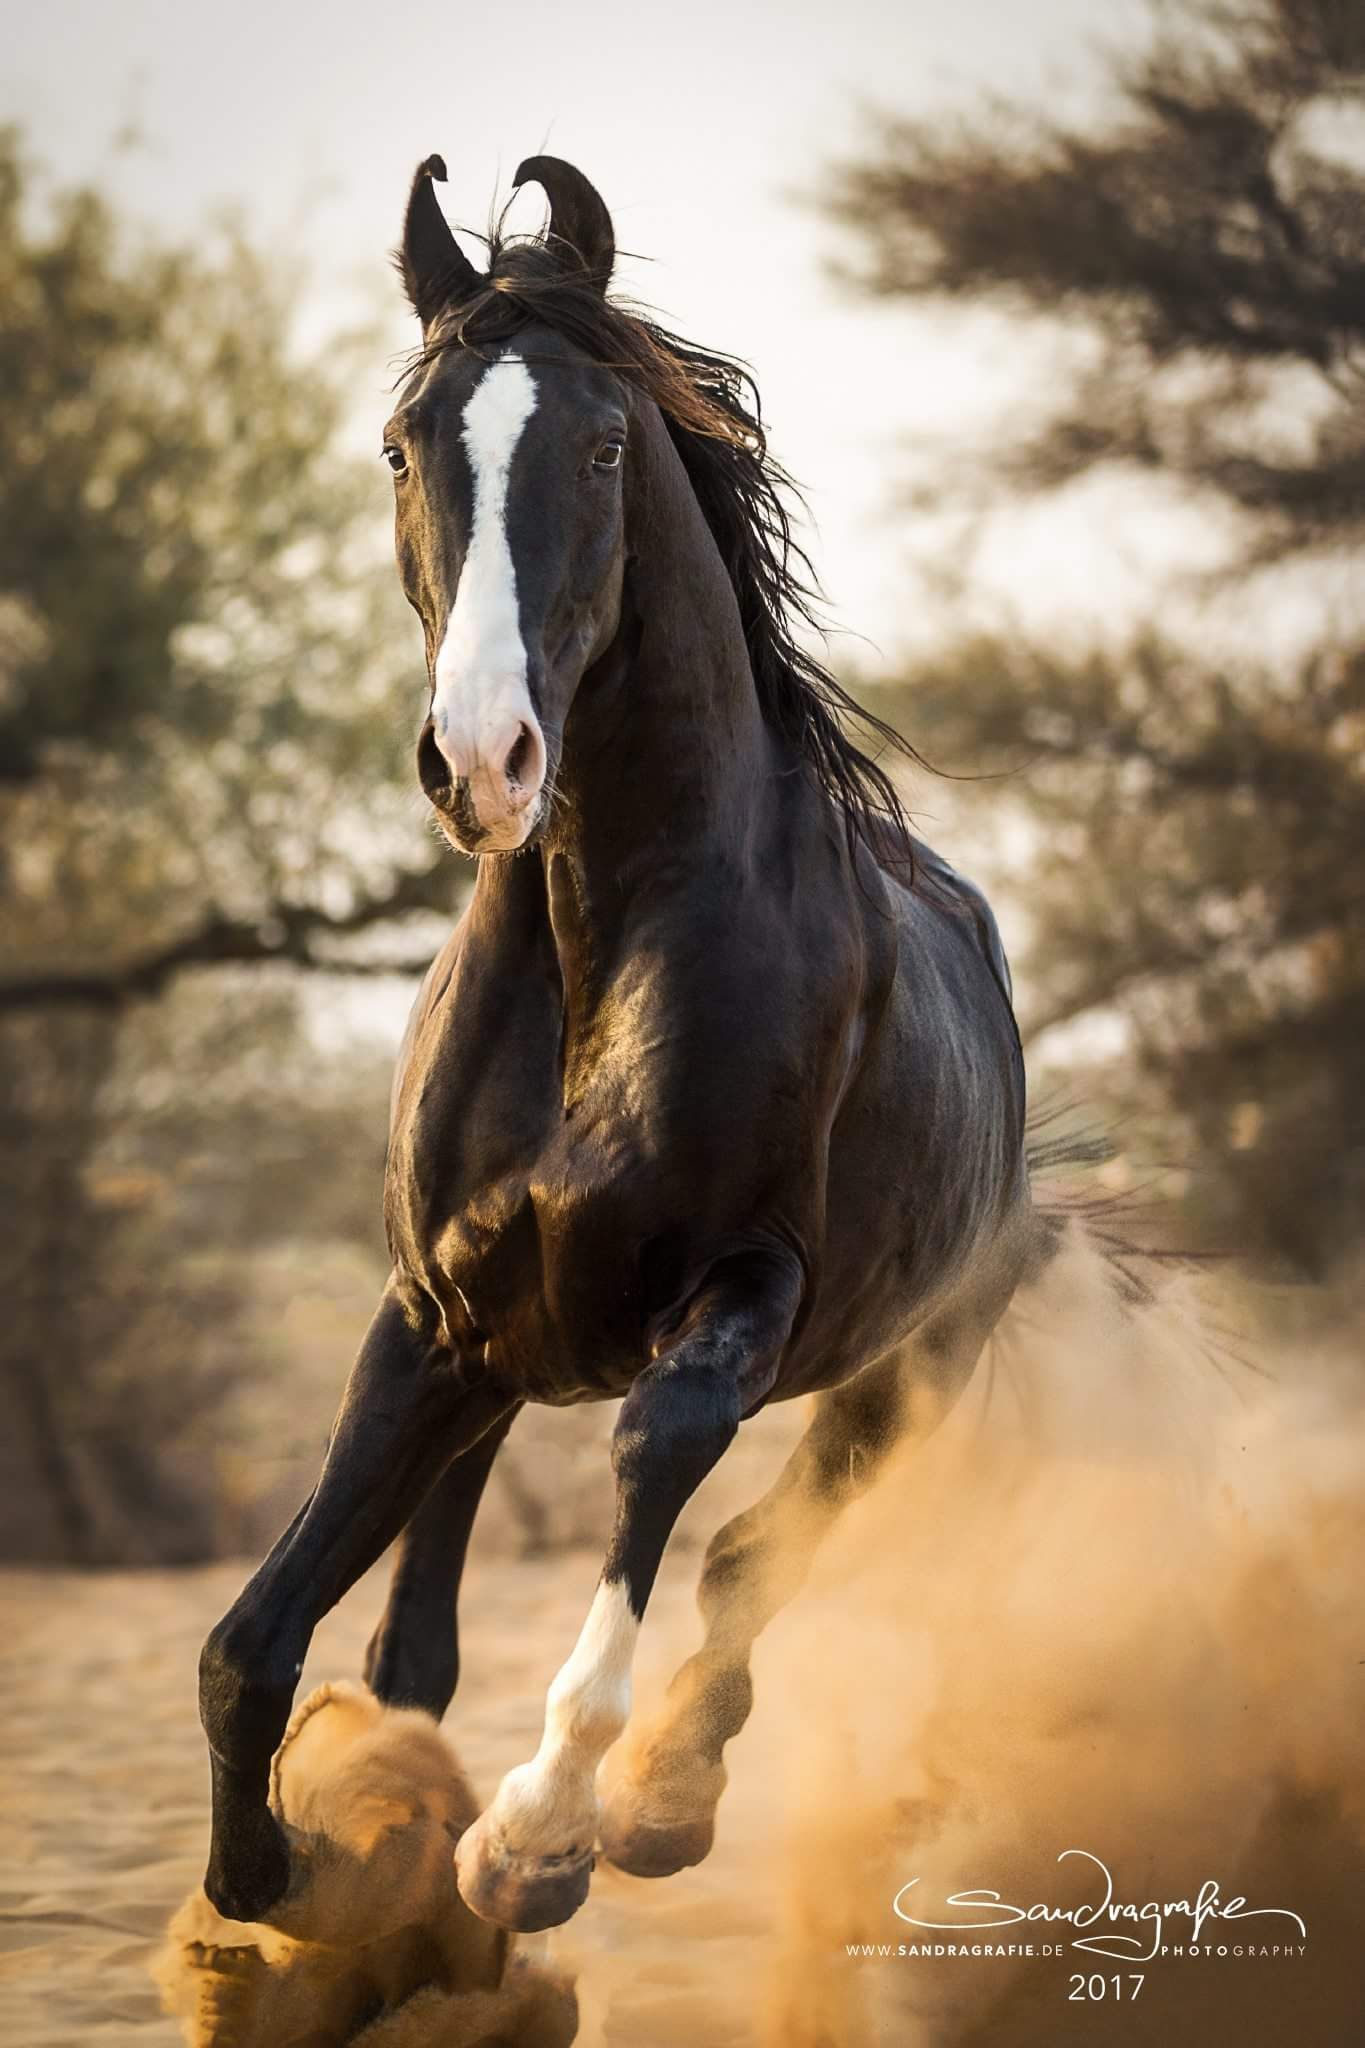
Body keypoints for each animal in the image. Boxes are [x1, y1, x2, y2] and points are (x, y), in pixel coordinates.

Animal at [197, 155, 1035, 1933]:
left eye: (597, 446)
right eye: (403, 445)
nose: (482, 762)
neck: (606, 949)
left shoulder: (747, 1291)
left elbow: (660, 1469)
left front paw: (539, 1835)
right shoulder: (433, 1320)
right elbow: (253, 1642)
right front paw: (273, 1875)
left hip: (909, 1364)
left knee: (754, 1548)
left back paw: (659, 1805)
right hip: (510, 1363)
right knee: (432, 1625)